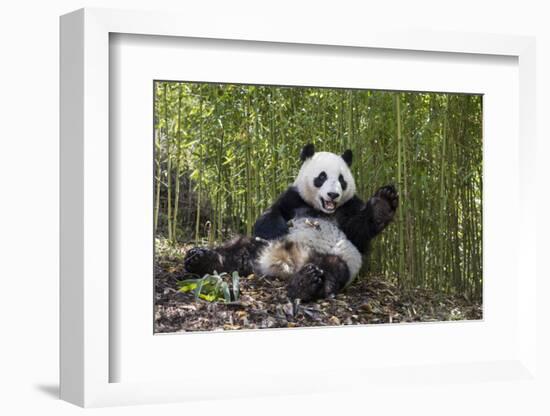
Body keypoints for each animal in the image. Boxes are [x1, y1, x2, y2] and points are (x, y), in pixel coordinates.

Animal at [183, 145, 398, 300]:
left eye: (341, 180)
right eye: (322, 176)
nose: (333, 194)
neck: (321, 210)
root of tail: (285, 265)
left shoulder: (349, 207)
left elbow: (359, 231)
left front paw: (383, 203)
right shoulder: (293, 198)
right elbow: (271, 213)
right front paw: (280, 229)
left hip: (339, 257)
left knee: (333, 269)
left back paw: (306, 283)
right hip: (259, 246)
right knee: (237, 248)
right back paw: (201, 259)